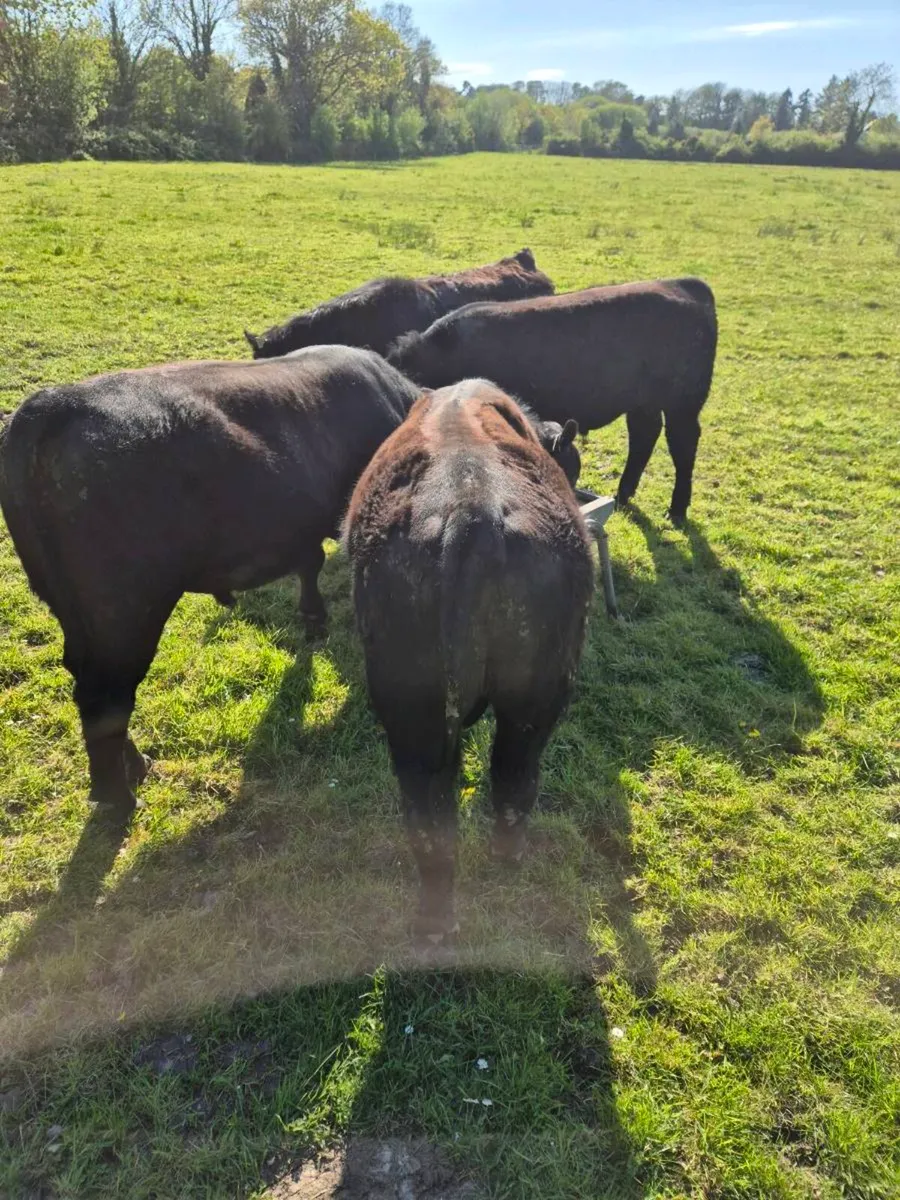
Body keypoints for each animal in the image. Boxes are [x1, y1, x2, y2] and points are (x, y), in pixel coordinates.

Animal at [0, 346, 419, 813]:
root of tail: (53, 405)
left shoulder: (300, 529)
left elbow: (310, 564)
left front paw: (314, 621)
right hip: (125, 613)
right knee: (105, 697)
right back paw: (120, 798)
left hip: (75, 614)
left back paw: (134, 767)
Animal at [387, 277, 718, 526]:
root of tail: (685, 284)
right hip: (643, 405)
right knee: (643, 438)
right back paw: (624, 496)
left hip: (682, 407)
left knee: (682, 445)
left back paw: (676, 510)